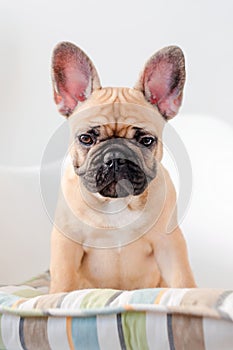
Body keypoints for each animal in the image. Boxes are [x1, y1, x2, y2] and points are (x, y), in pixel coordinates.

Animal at [49, 41, 197, 292]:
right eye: (86, 138)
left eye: (146, 140)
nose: (116, 157)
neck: (115, 203)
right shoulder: (65, 244)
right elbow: (62, 284)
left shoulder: (169, 244)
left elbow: (182, 280)